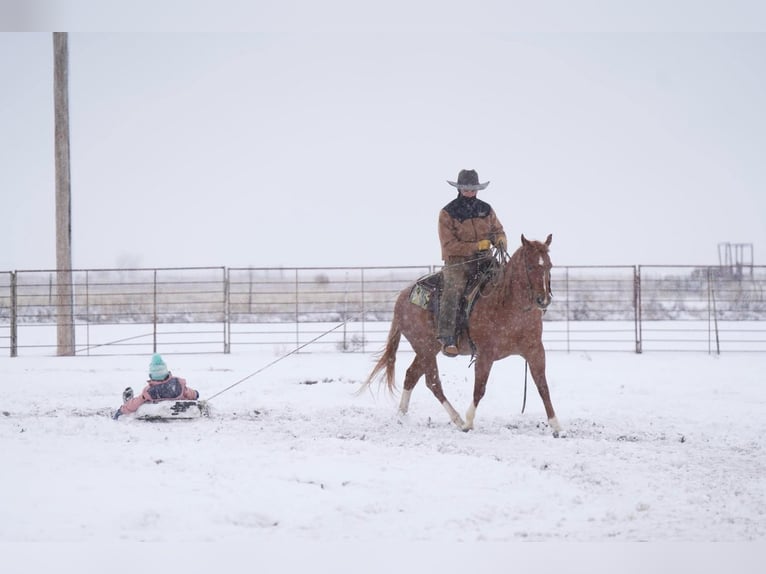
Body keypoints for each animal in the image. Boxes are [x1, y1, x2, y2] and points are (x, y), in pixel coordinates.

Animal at [360, 233, 564, 436]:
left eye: (549, 265)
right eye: (530, 266)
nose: (543, 300)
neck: (507, 304)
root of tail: (402, 297)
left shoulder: (535, 350)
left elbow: (543, 387)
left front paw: (556, 426)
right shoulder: (485, 354)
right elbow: (479, 389)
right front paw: (468, 422)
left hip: (428, 349)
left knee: (412, 375)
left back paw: (402, 415)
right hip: (424, 348)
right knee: (432, 382)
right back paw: (457, 419)